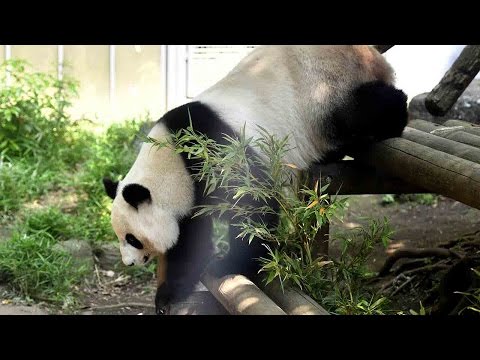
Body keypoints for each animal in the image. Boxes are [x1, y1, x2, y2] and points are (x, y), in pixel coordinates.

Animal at [102, 45, 408, 316]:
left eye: (132, 238)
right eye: (121, 236)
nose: (128, 263)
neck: (172, 163)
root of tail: (374, 56)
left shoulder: (217, 152)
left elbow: (254, 206)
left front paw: (229, 264)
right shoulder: (192, 195)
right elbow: (190, 243)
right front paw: (166, 296)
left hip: (330, 90)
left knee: (366, 109)